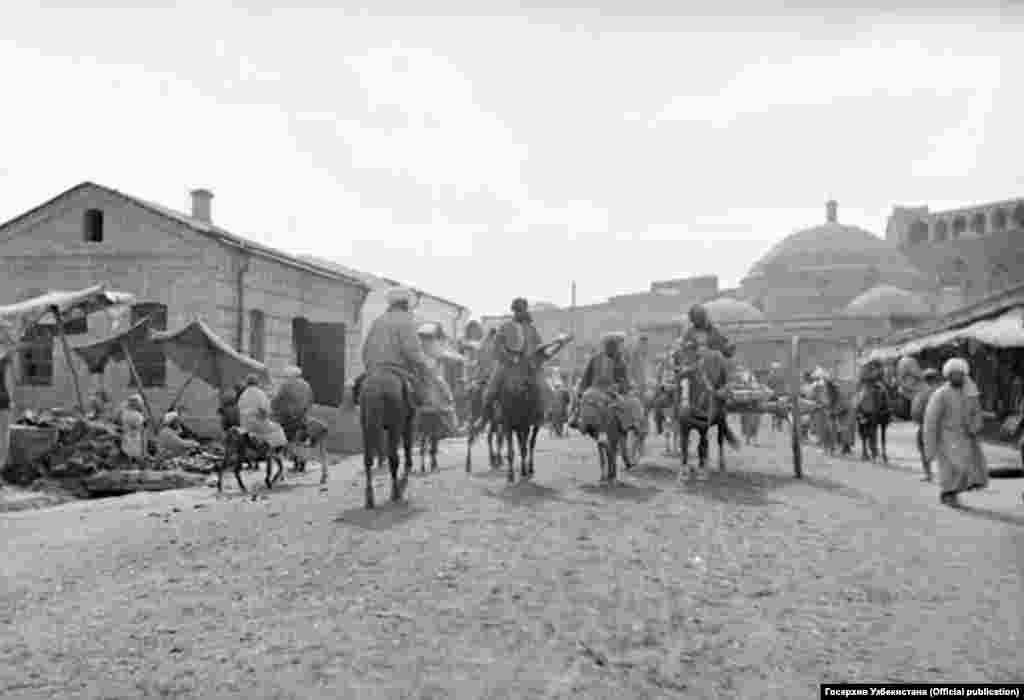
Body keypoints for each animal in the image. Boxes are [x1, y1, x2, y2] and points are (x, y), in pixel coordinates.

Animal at [356, 366, 411, 507]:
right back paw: (396, 493)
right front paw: (408, 466)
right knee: (394, 456)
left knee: (367, 457)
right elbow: (407, 436)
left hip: (367, 410)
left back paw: (369, 499)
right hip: (395, 409)